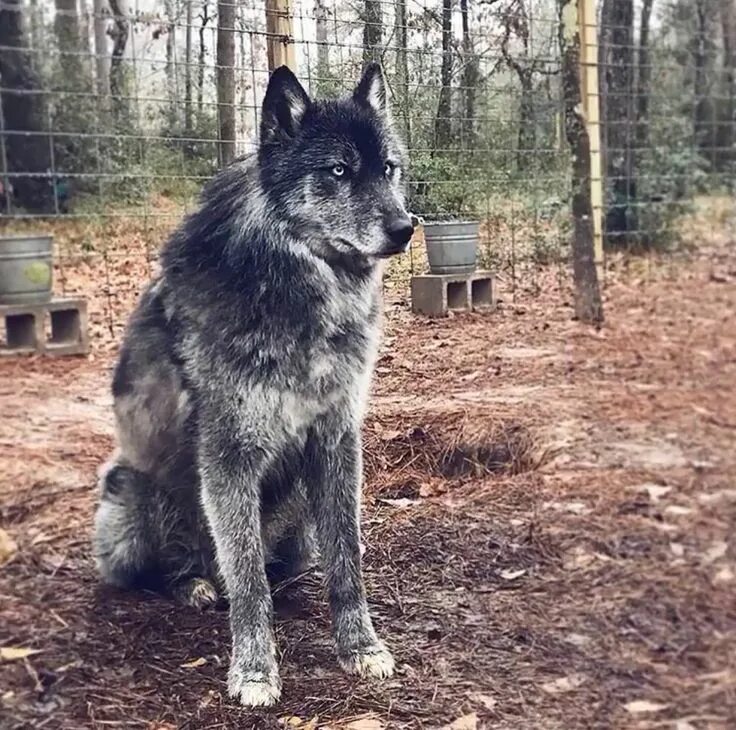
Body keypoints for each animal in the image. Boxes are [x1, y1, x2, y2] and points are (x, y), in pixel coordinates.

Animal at [92, 63, 414, 707]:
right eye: (338, 171)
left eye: (389, 168)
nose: (405, 228)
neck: (300, 295)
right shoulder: (229, 454)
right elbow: (244, 583)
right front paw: (256, 671)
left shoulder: (337, 438)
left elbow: (348, 556)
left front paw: (360, 647)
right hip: (132, 496)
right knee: (175, 571)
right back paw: (194, 586)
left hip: (297, 522)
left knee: (277, 564)